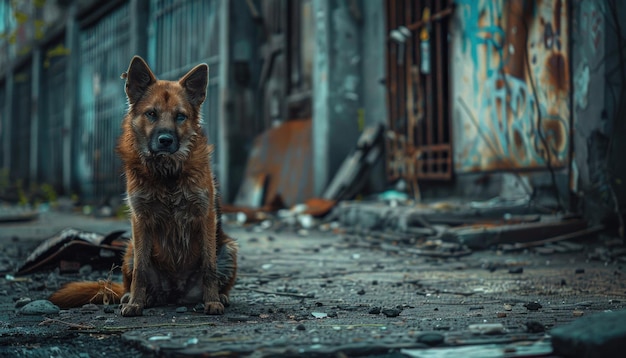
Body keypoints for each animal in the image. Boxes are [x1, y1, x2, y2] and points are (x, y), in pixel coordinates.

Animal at [49, 56, 236, 316]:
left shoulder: (205, 216)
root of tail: (175, 293)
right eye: (152, 114)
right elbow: (141, 270)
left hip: (228, 248)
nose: (165, 140)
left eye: (180, 116)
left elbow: (209, 266)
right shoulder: (140, 221)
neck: (167, 174)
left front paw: (212, 301)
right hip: (128, 249)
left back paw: (222, 296)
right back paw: (133, 297)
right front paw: (135, 303)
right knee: (133, 277)